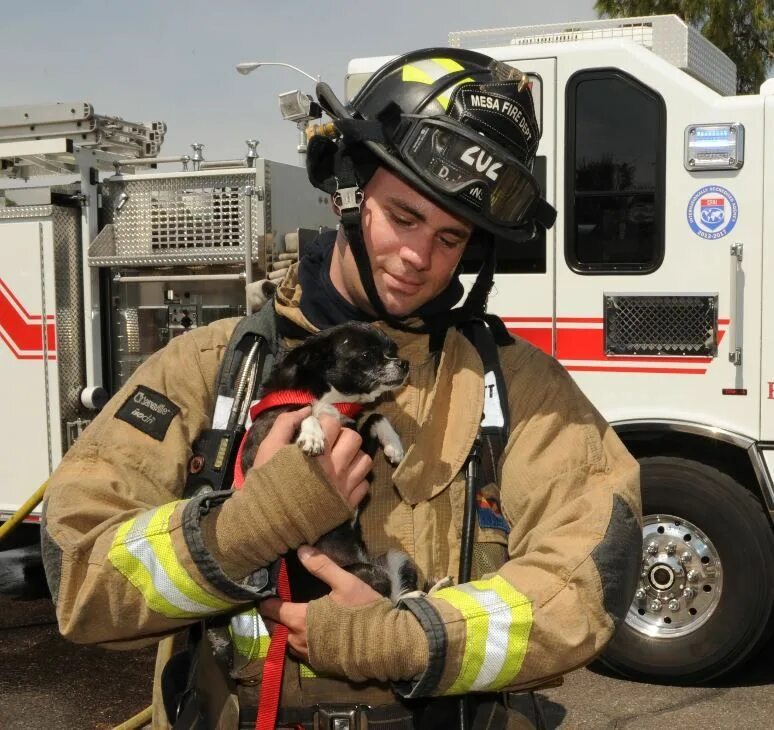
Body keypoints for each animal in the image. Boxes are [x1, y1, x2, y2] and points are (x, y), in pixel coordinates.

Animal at [242, 322, 424, 600]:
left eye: (392, 350)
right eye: (366, 355)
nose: (403, 362)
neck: (334, 403)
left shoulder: (357, 444)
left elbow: (376, 417)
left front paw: (394, 446)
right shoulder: (261, 445)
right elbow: (306, 414)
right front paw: (312, 435)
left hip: (393, 557)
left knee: (393, 596)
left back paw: (417, 596)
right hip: (368, 572)